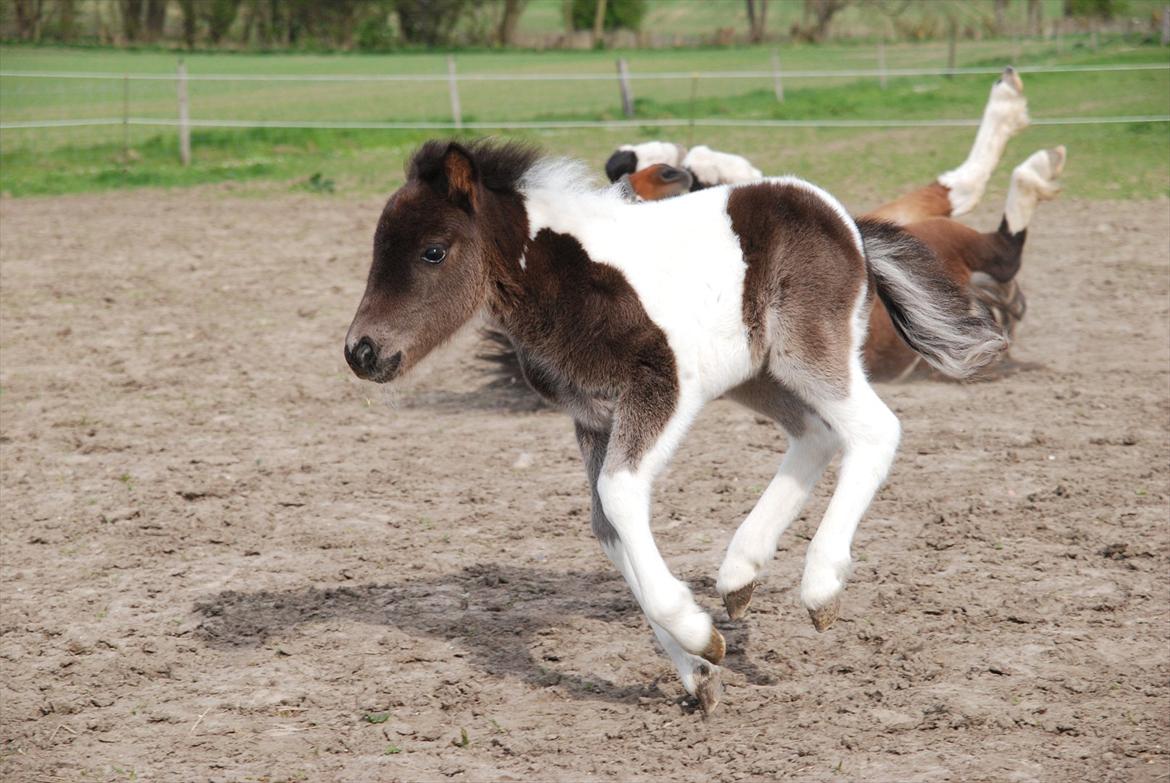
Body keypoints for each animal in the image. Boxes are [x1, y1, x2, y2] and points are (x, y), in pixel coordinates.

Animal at [343, 137, 1006, 711]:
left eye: (433, 251)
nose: (362, 352)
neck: (566, 277)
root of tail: (847, 220)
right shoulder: (592, 417)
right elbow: (607, 523)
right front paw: (700, 670)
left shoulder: (658, 389)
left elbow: (619, 495)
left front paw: (697, 634)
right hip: (757, 373)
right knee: (816, 435)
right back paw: (739, 573)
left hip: (808, 350)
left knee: (874, 429)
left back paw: (819, 586)